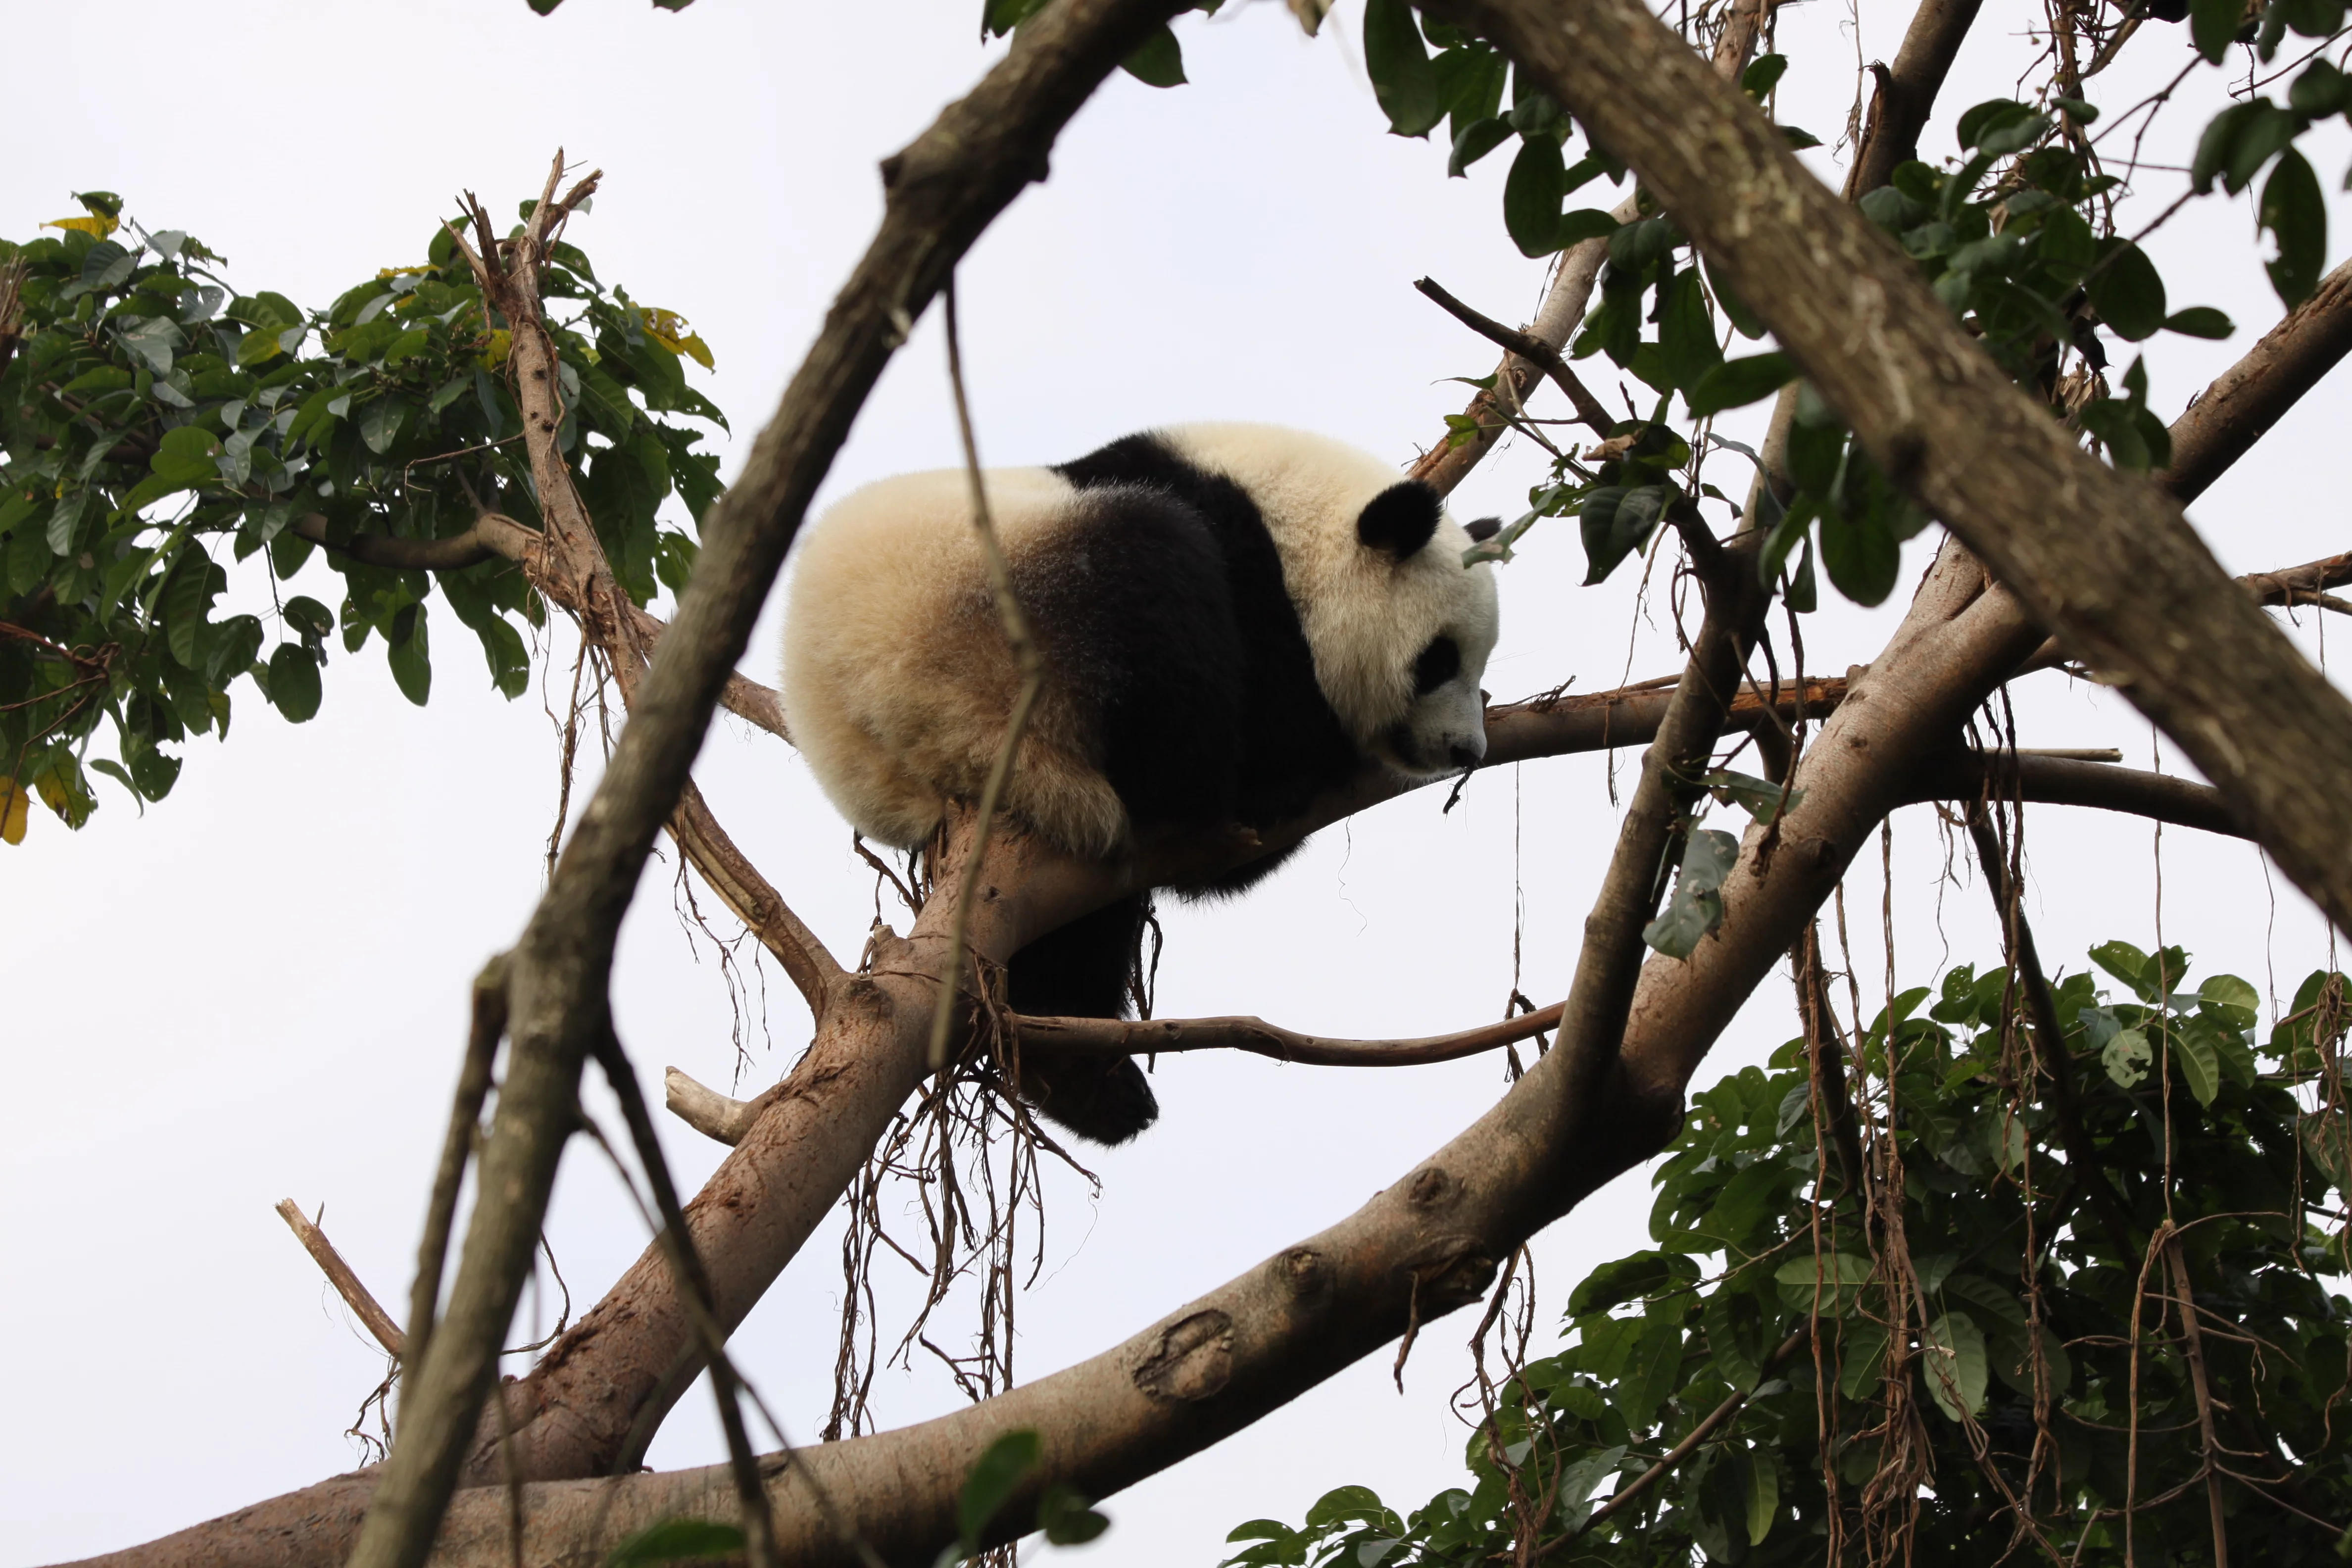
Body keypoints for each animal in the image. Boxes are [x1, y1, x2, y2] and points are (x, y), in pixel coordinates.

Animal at [780, 423, 1501, 1144]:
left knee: (1075, 933)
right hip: (1012, 621)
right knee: (1155, 584)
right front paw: (1298, 770)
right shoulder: (1246, 571)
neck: (1289, 517)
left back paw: (1083, 1077)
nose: (1466, 748)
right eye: (1439, 661)